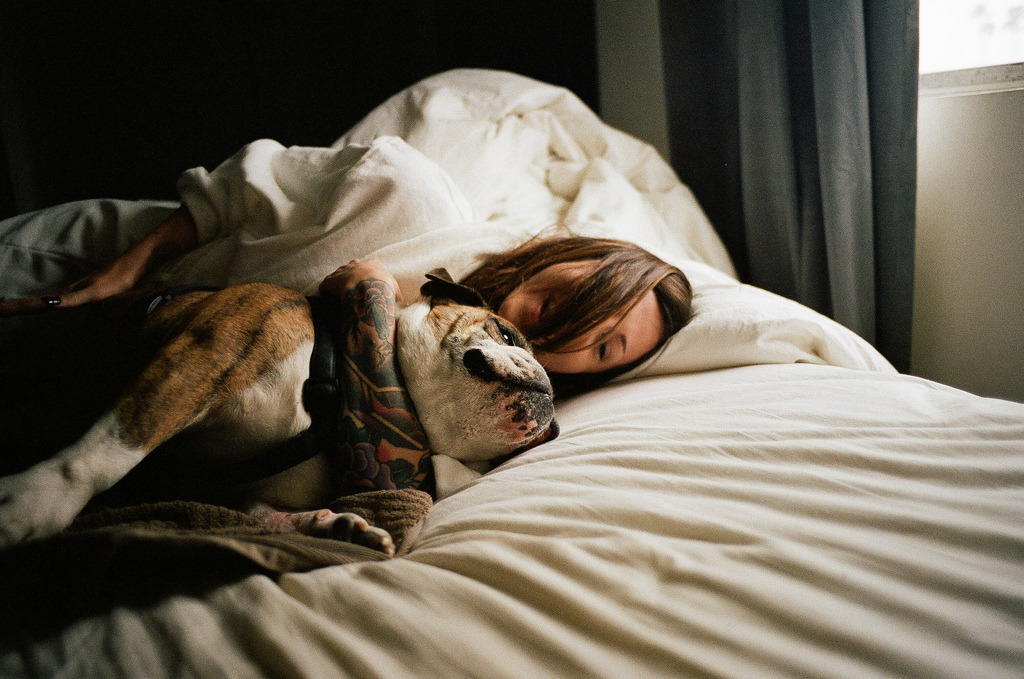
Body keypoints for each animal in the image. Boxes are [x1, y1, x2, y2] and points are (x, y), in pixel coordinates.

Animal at [0, 271, 557, 554]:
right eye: (508, 334)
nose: (552, 414)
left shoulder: (231, 491)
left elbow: (262, 516)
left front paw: (337, 524)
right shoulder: (207, 354)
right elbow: (110, 449)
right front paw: (33, 505)